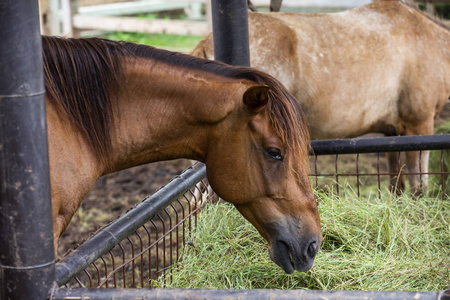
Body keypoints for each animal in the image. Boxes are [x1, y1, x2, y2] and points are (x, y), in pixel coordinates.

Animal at [192, 0, 450, 196]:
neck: (431, 40)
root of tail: (204, 44)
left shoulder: (393, 132)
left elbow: (396, 181)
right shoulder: (419, 124)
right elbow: (418, 181)